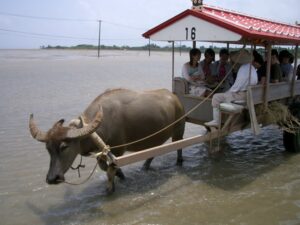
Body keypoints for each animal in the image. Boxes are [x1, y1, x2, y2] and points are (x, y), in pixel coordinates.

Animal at [30, 89, 185, 192]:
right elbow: (106, 168)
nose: (52, 178)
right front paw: (121, 175)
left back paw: (179, 162)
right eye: (48, 149)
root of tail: (175, 97)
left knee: (179, 146)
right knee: (153, 151)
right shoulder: (102, 153)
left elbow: (110, 170)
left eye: (64, 147)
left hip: (178, 130)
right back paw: (145, 166)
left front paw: (112, 186)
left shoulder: (117, 151)